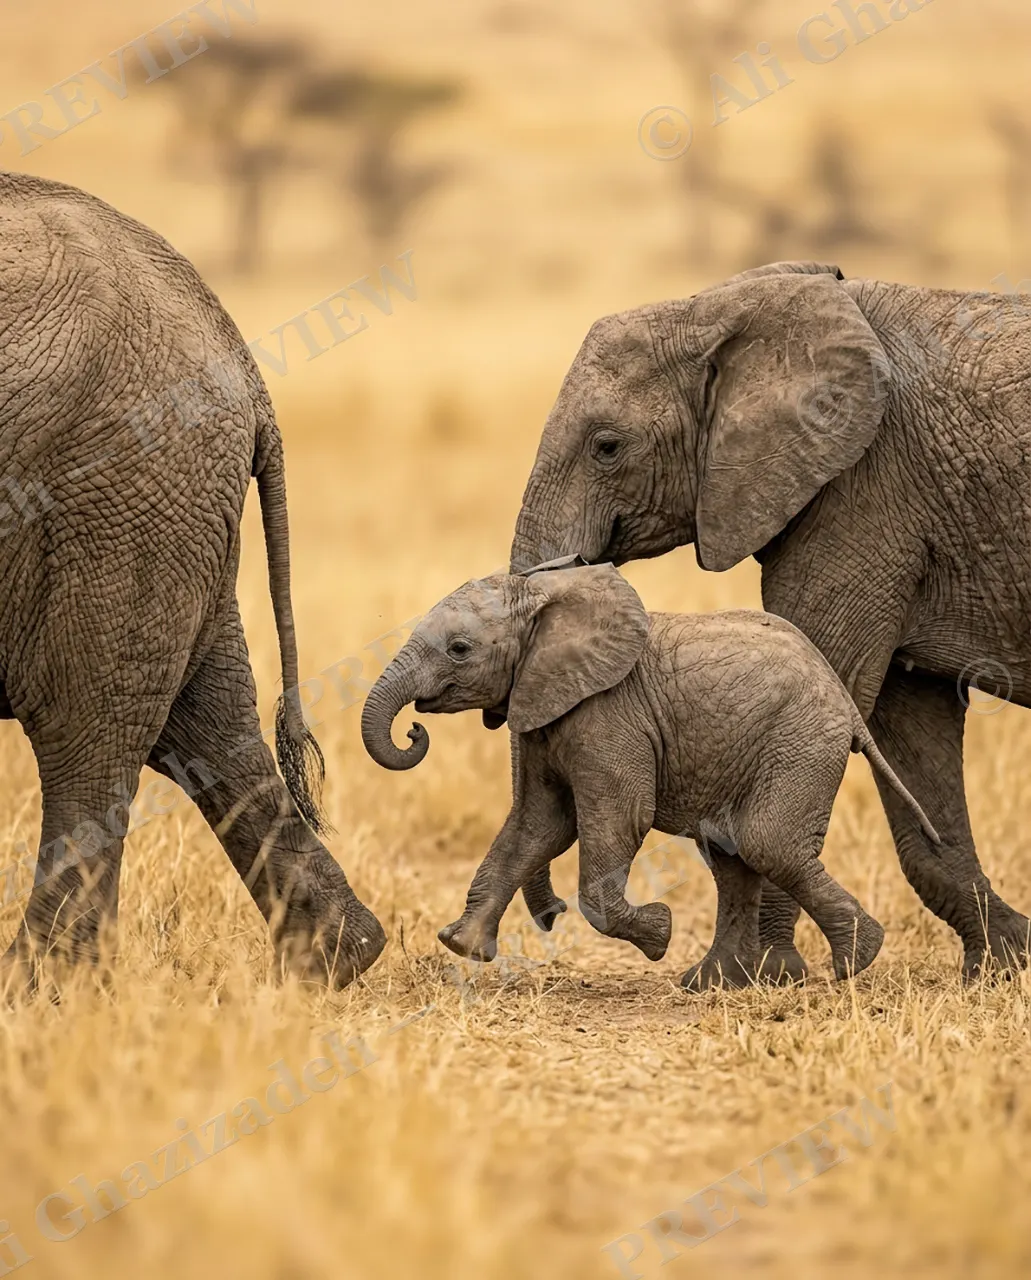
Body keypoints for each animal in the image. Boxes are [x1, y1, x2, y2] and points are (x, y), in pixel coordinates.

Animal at [0, 171, 384, 988]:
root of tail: (242, 363)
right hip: (165, 512)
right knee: (207, 727)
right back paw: (332, 959)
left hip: (121, 494)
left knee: (84, 726)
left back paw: (43, 986)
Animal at [360, 561, 939, 986]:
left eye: (460, 650)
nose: (413, 729)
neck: (544, 597)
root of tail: (847, 703)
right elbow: (535, 825)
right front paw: (462, 945)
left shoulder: (610, 716)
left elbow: (620, 819)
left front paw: (659, 934)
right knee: (731, 855)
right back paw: (709, 984)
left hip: (800, 740)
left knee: (766, 842)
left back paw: (854, 962)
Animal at [507, 259, 1031, 981]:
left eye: (607, 447)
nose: (551, 916)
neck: (725, 308)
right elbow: (909, 725)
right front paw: (1006, 964)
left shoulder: (862, 492)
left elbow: (823, 685)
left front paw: (766, 976)